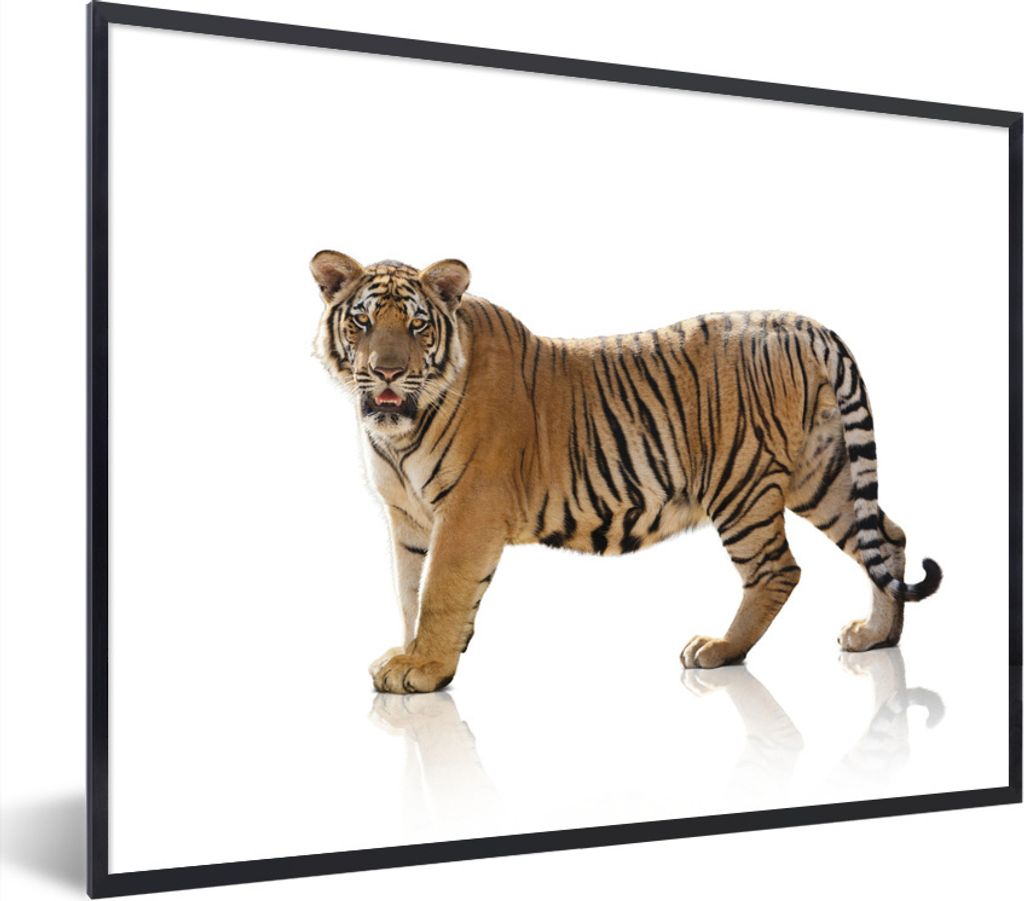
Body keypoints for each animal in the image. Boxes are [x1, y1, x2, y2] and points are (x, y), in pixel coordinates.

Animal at [310, 251, 942, 694]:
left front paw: (424, 669)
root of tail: (803, 324)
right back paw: (877, 637)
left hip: (741, 485)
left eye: (417, 326)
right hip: (824, 473)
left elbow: (440, 591)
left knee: (777, 570)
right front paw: (409, 656)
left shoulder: (468, 512)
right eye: (362, 323)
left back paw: (720, 648)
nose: (387, 372)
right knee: (886, 536)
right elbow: (408, 593)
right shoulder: (408, 517)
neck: (397, 431)